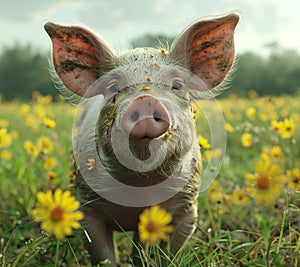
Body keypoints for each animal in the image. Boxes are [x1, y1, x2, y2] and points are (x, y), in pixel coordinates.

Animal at [44, 11, 240, 266]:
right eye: (113, 86)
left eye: (177, 84)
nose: (145, 100)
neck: (141, 184)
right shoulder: (87, 205)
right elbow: (103, 256)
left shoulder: (187, 207)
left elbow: (171, 253)